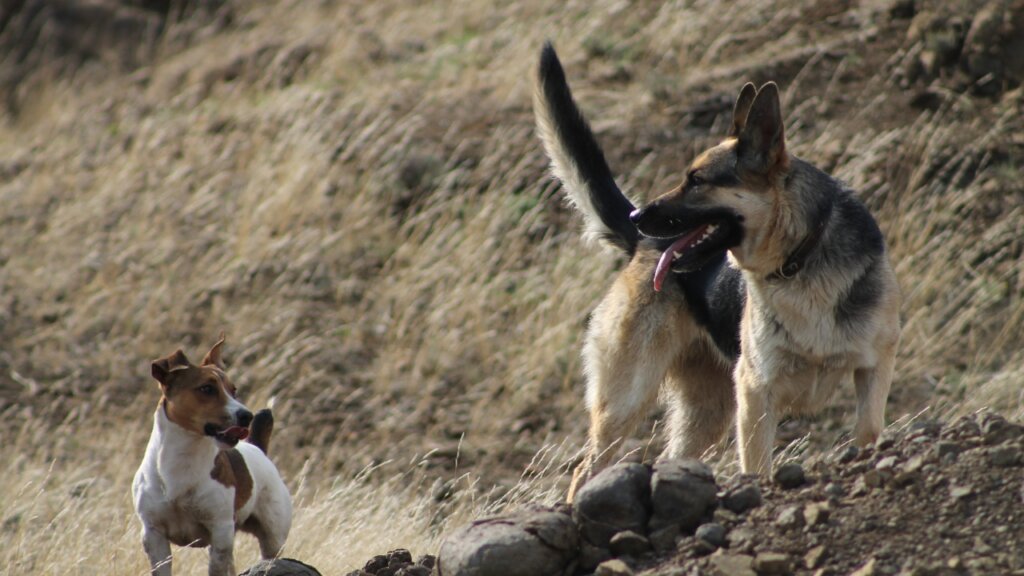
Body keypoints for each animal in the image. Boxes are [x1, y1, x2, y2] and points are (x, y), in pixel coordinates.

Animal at [132, 334, 292, 573]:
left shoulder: (220, 533)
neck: (183, 460)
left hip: (272, 537)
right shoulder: (154, 535)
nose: (247, 415)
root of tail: (258, 449)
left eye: (233, 390)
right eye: (207, 388)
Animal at [532, 43, 901, 498]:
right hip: (628, 399)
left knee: (667, 459)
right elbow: (757, 465)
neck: (799, 260)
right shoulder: (756, 390)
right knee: (586, 469)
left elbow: (868, 430)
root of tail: (641, 245)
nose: (637, 215)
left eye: (697, 180)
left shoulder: (875, 366)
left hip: (706, 412)